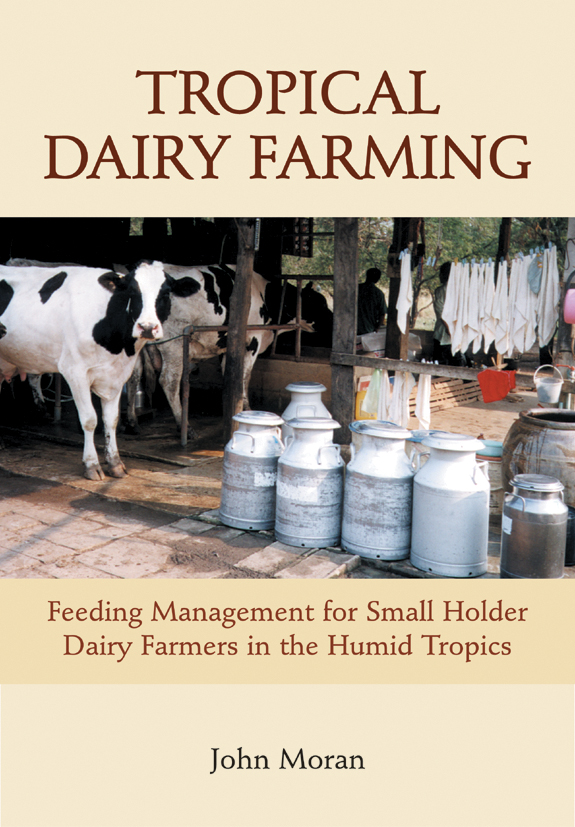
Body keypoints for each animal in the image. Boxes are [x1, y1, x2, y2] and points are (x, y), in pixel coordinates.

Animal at [0, 262, 191, 482]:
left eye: (166, 293)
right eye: (132, 292)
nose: (147, 327)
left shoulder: (117, 374)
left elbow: (111, 420)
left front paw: (115, 463)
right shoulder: (74, 371)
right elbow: (90, 420)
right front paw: (91, 465)